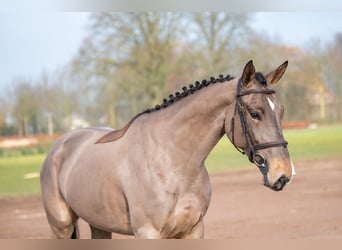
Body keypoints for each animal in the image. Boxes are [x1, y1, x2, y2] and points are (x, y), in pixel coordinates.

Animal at [40, 60, 296, 238]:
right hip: (61, 226)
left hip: (99, 225)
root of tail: (60, 146)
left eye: (282, 111)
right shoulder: (148, 233)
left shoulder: (193, 230)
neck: (173, 161)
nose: (284, 173)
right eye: (255, 113)